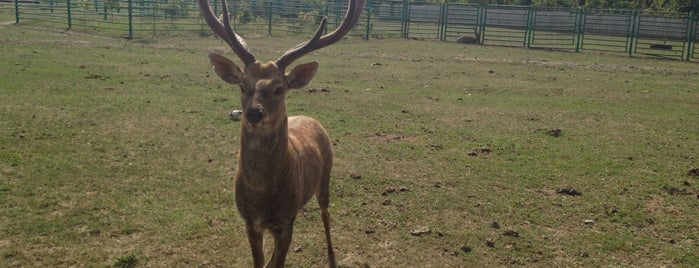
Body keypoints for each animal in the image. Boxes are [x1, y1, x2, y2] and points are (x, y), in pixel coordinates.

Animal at [196, 0, 364, 268]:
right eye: (242, 85)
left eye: (278, 88)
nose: (253, 113)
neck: (261, 196)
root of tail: (312, 118)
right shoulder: (250, 222)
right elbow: (261, 261)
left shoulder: (285, 221)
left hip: (326, 176)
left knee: (326, 214)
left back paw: (332, 257)